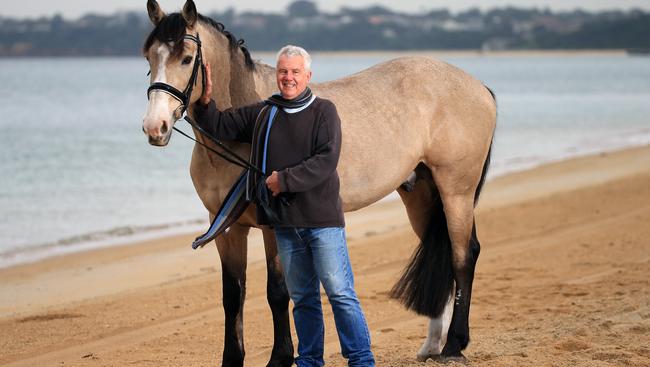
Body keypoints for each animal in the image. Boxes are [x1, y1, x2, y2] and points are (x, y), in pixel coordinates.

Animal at [140, 0, 496, 366]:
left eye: (186, 58)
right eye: (149, 57)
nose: (155, 126)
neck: (242, 126)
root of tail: (478, 87)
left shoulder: (272, 226)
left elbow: (277, 292)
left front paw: (281, 357)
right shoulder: (227, 227)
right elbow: (233, 295)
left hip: (456, 192)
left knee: (462, 256)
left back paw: (454, 345)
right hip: (422, 196)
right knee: (442, 254)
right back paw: (432, 345)